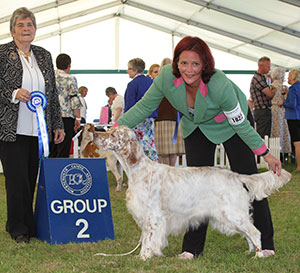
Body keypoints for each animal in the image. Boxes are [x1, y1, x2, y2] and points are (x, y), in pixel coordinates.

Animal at [93, 125, 290, 260]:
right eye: (109, 129)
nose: (95, 134)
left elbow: (148, 240)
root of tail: (235, 175)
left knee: (255, 232)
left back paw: (259, 255)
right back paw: (249, 252)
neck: (139, 170)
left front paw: (143, 257)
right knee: (249, 232)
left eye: (113, 134)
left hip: (233, 214)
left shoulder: (153, 216)